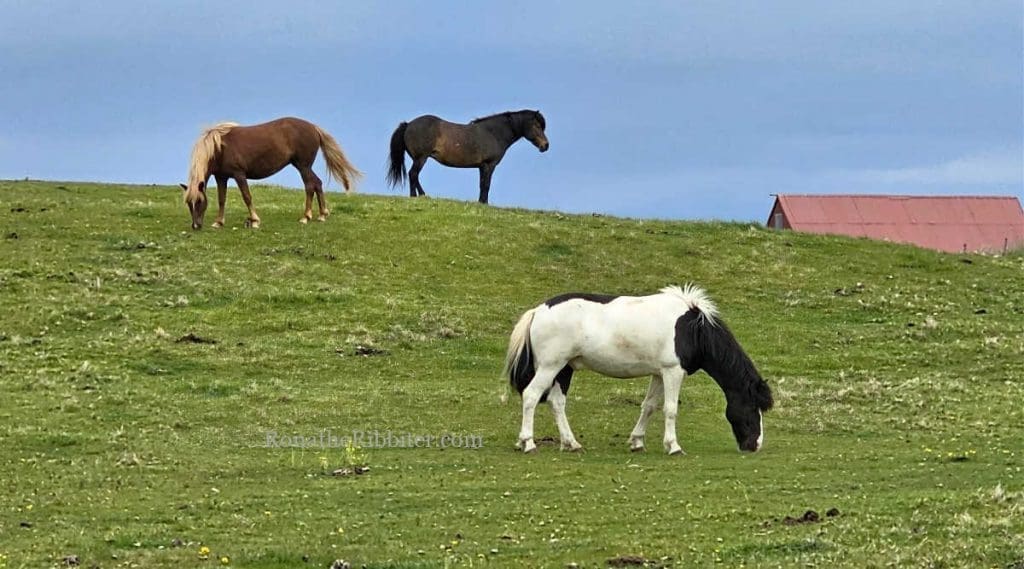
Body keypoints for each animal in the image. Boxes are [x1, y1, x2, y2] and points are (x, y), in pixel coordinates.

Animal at [181, 116, 364, 230]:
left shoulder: (239, 175)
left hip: (303, 166)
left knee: (310, 186)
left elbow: (247, 197)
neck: (219, 147)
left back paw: (306, 217)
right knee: (317, 184)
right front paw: (219, 222)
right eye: (189, 203)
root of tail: (313, 127)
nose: (195, 226)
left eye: (199, 202)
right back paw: (321, 215)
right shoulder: (221, 178)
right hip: (302, 166)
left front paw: (255, 221)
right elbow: (221, 200)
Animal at [385, 108, 548, 204]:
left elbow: (482, 184)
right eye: (537, 126)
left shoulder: (481, 167)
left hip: (419, 159)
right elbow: (486, 185)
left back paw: (423, 195)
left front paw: (481, 202)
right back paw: (414, 196)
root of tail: (408, 124)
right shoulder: (489, 165)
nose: (545, 145)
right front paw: (484, 203)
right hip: (421, 158)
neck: (494, 133)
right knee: (413, 174)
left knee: (415, 176)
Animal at [499, 286, 770, 456]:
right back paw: (528, 443)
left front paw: (637, 442)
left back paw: (571, 443)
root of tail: (538, 311)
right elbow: (670, 409)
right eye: (751, 407)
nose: (755, 445)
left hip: (564, 369)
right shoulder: (673, 372)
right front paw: (673, 446)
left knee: (556, 403)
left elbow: (649, 406)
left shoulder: (659, 373)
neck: (693, 329)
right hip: (550, 367)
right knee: (531, 396)